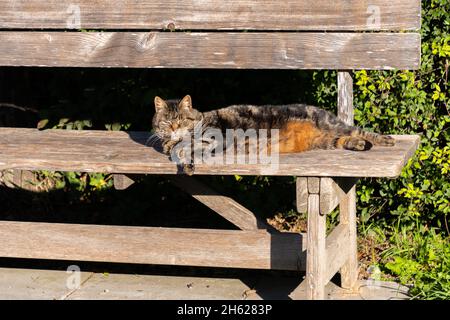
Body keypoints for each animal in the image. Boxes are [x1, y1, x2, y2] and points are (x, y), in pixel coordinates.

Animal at [150, 95, 394, 175]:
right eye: (167, 122)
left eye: (181, 120)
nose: (174, 128)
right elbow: (179, 149)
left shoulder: (215, 137)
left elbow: (191, 147)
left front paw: (188, 160)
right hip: (326, 141)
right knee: (345, 140)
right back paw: (359, 145)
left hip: (332, 125)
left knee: (360, 130)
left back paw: (385, 140)